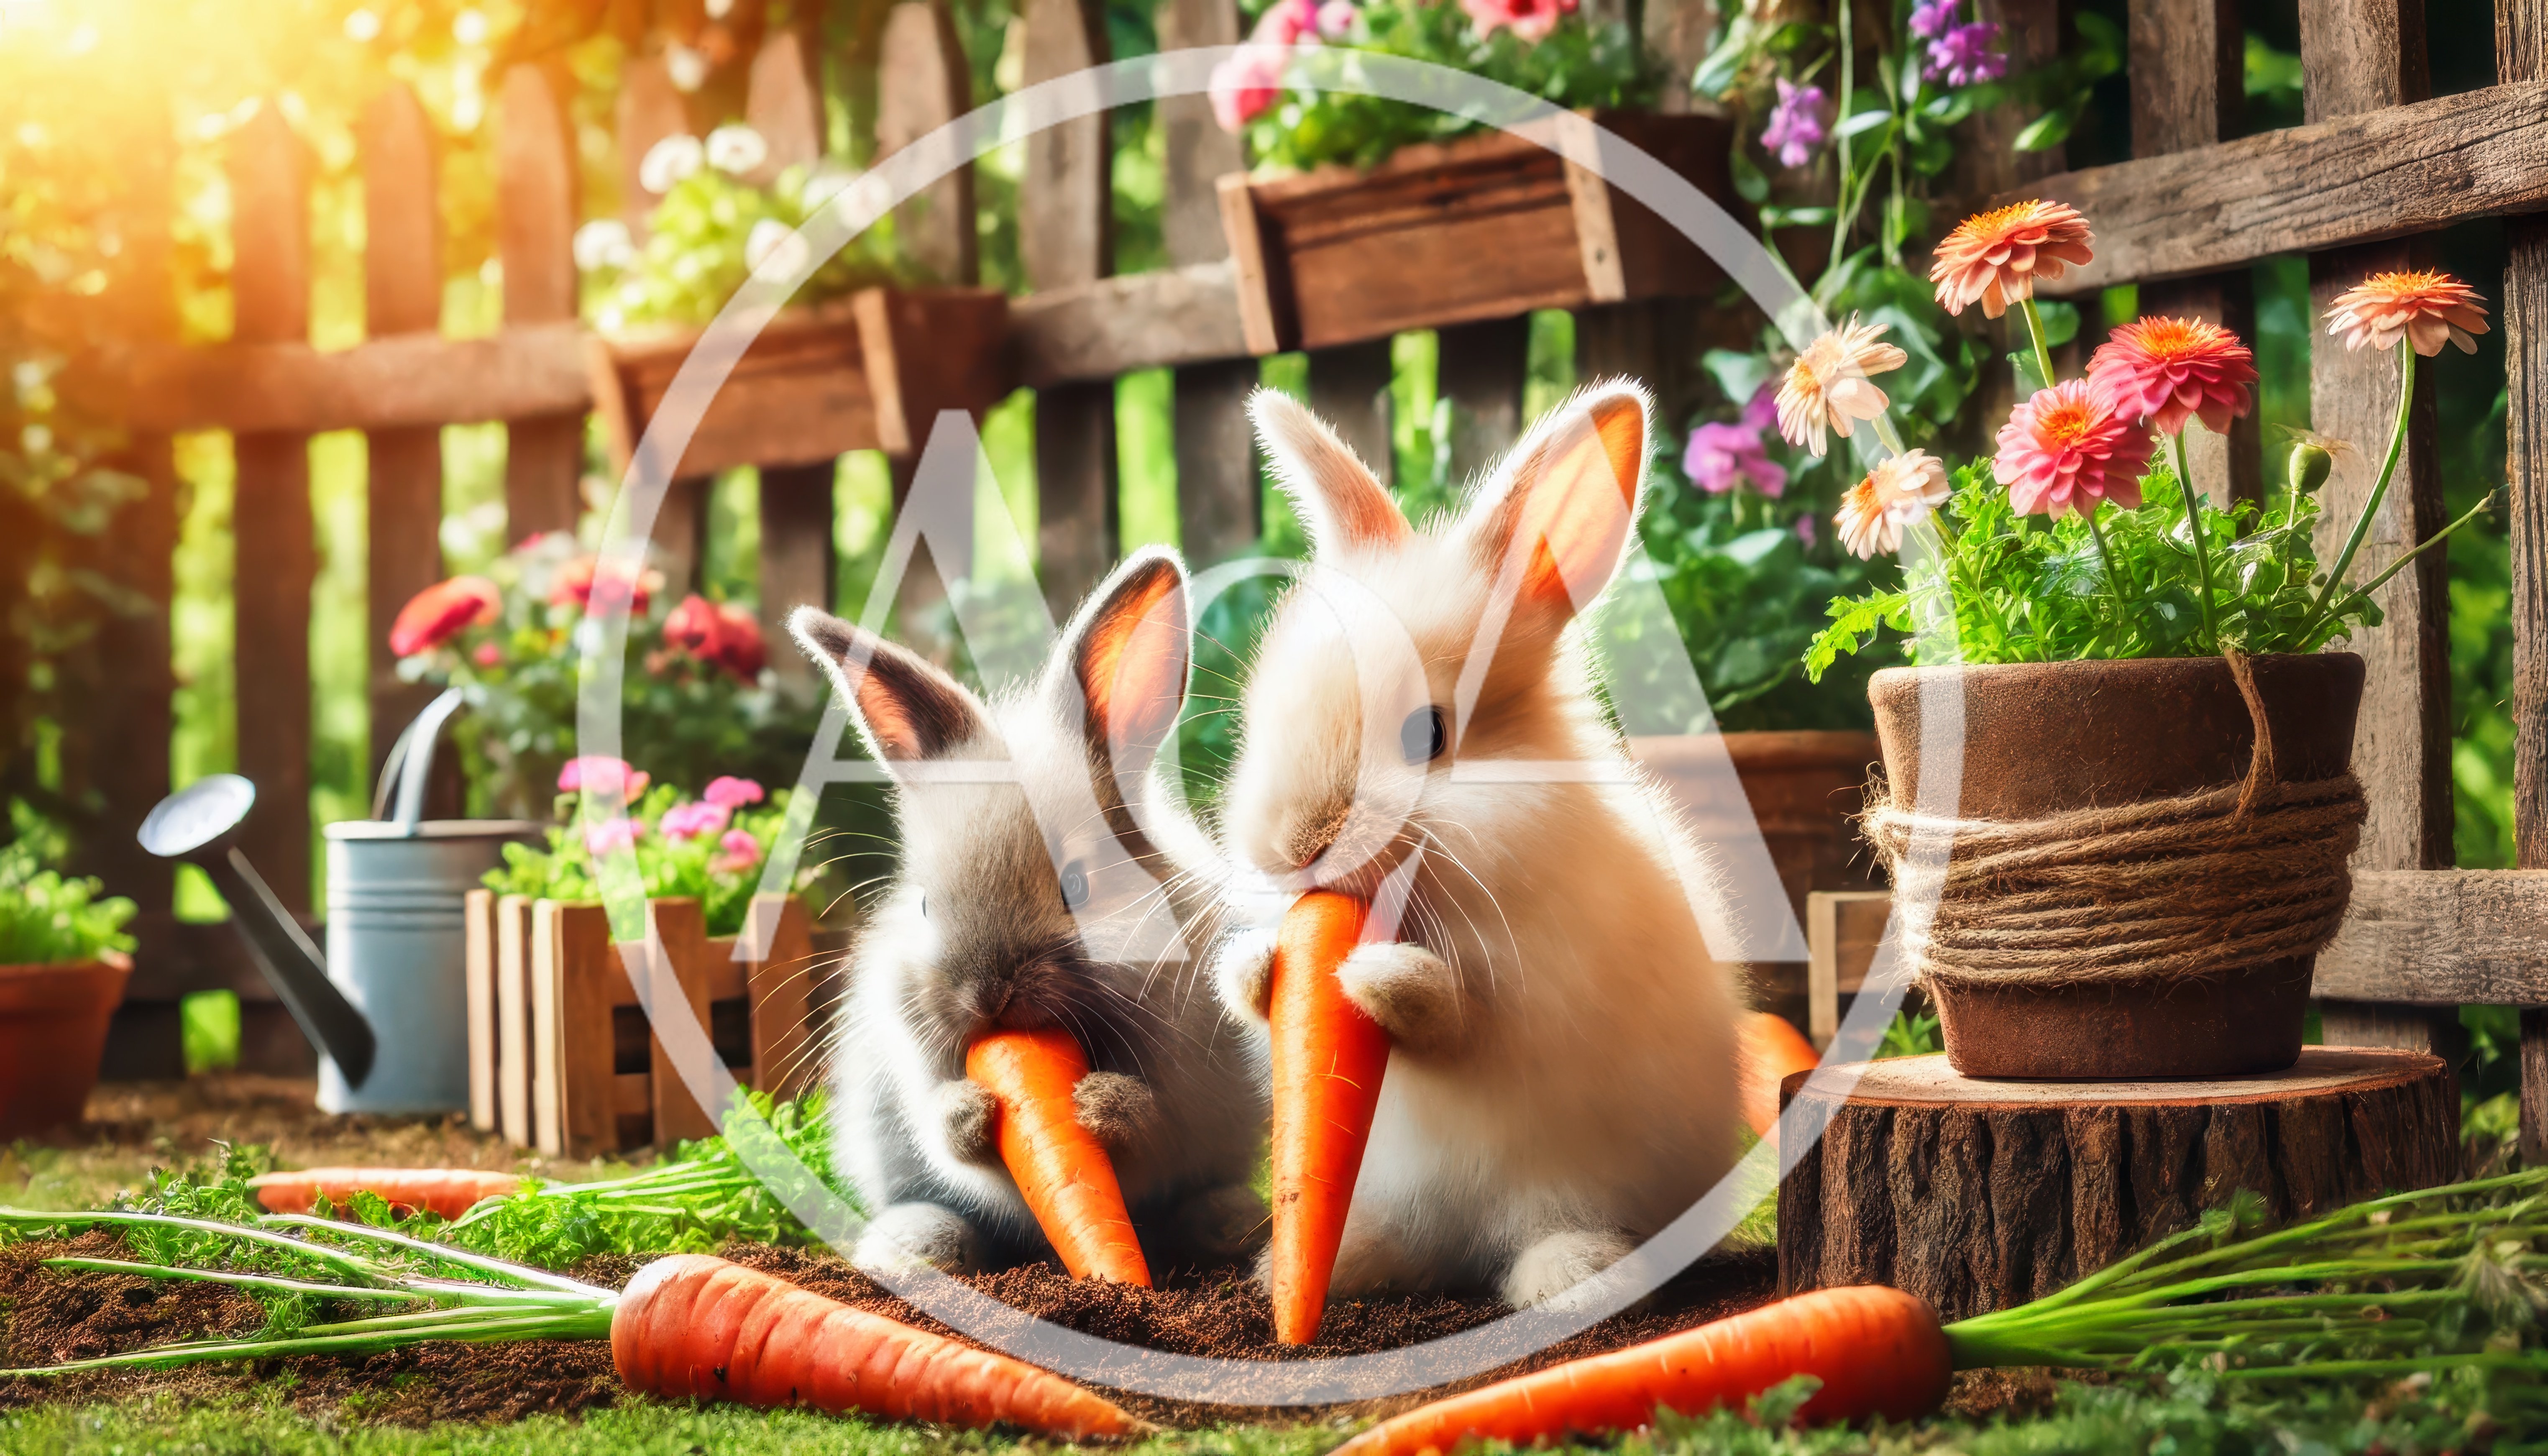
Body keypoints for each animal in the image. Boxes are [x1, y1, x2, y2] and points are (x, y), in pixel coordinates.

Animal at [789, 547, 1267, 1279]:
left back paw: (1234, 1227)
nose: (986, 994)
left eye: (1077, 886)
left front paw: (1100, 1105)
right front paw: (970, 1111)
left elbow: (1151, 1131)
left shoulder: (1187, 1086)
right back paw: (910, 1245)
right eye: (925, 902)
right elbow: (960, 1148)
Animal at [1208, 381, 1748, 1312]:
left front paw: (1377, 979)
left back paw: (1575, 1276)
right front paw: (1257, 964)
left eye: (1426, 733)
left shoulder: (1536, 1000)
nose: (1292, 847)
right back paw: (1316, 1263)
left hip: (1572, 1181)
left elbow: (1459, 1020)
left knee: (1552, 1229)